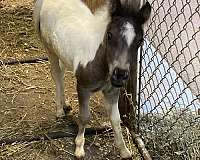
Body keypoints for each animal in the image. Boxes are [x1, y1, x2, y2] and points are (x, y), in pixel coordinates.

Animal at [33, 0, 151, 158]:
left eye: (140, 40)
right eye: (109, 35)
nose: (120, 74)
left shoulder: (112, 92)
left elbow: (116, 119)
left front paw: (124, 150)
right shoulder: (83, 87)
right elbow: (84, 116)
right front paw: (79, 147)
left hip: (62, 54)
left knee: (62, 73)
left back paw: (65, 105)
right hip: (50, 49)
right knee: (57, 76)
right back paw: (59, 110)